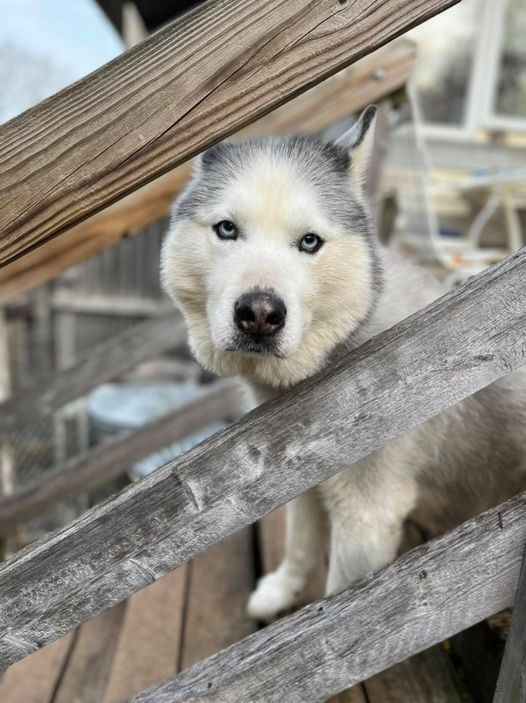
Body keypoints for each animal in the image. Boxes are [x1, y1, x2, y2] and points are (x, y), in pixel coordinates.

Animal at [164, 106, 526, 620]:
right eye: (227, 229)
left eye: (310, 242)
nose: (260, 315)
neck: (345, 351)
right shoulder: (300, 481)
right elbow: (299, 543)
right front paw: (282, 590)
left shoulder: (366, 515)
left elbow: (343, 612)